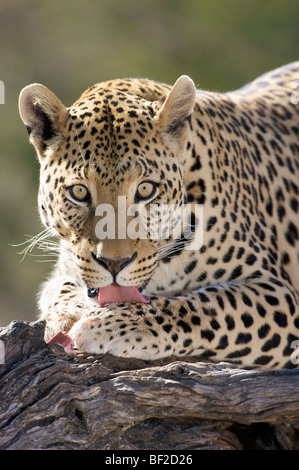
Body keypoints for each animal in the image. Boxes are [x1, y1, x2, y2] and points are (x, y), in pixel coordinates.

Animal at [18, 62, 299, 370]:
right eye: (79, 192)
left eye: (145, 190)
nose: (114, 264)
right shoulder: (64, 268)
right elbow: (61, 288)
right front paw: (65, 315)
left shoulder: (276, 293)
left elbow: (201, 307)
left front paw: (106, 325)